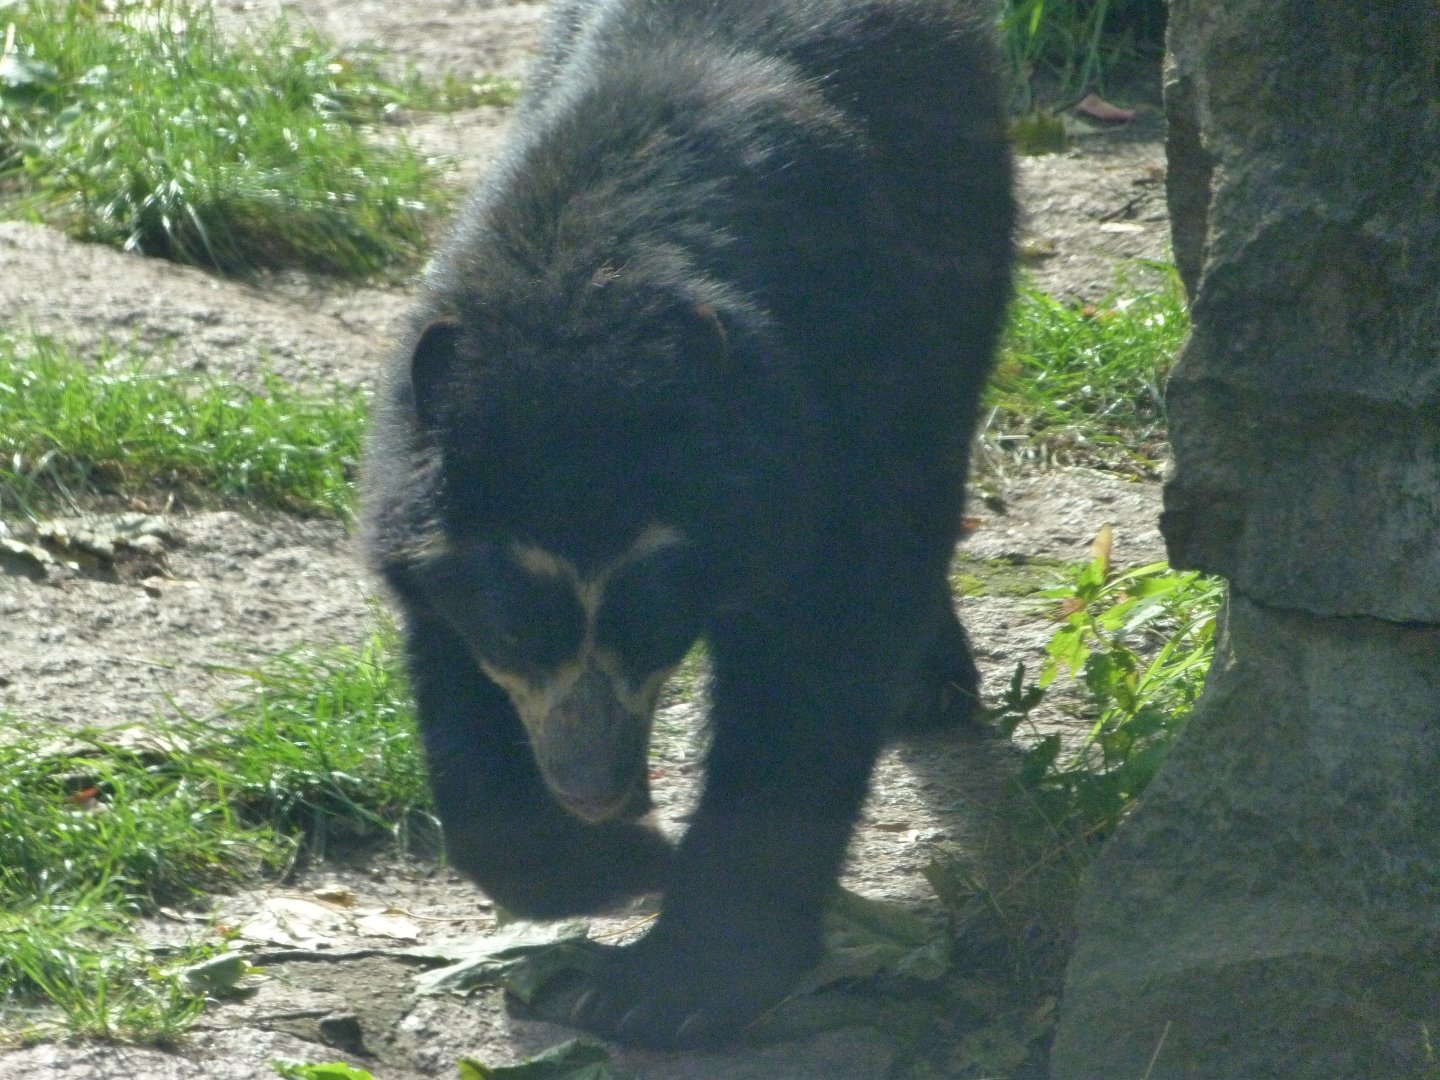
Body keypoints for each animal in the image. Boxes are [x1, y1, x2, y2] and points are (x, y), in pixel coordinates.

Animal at [362, 0, 1014, 1049]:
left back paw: (930, 686)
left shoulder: (840, 397)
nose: (594, 785)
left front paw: (665, 983)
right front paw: (609, 865)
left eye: (653, 621)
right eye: (518, 626)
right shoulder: (434, 512)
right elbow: (453, 674)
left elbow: (822, 654)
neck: (590, 260)